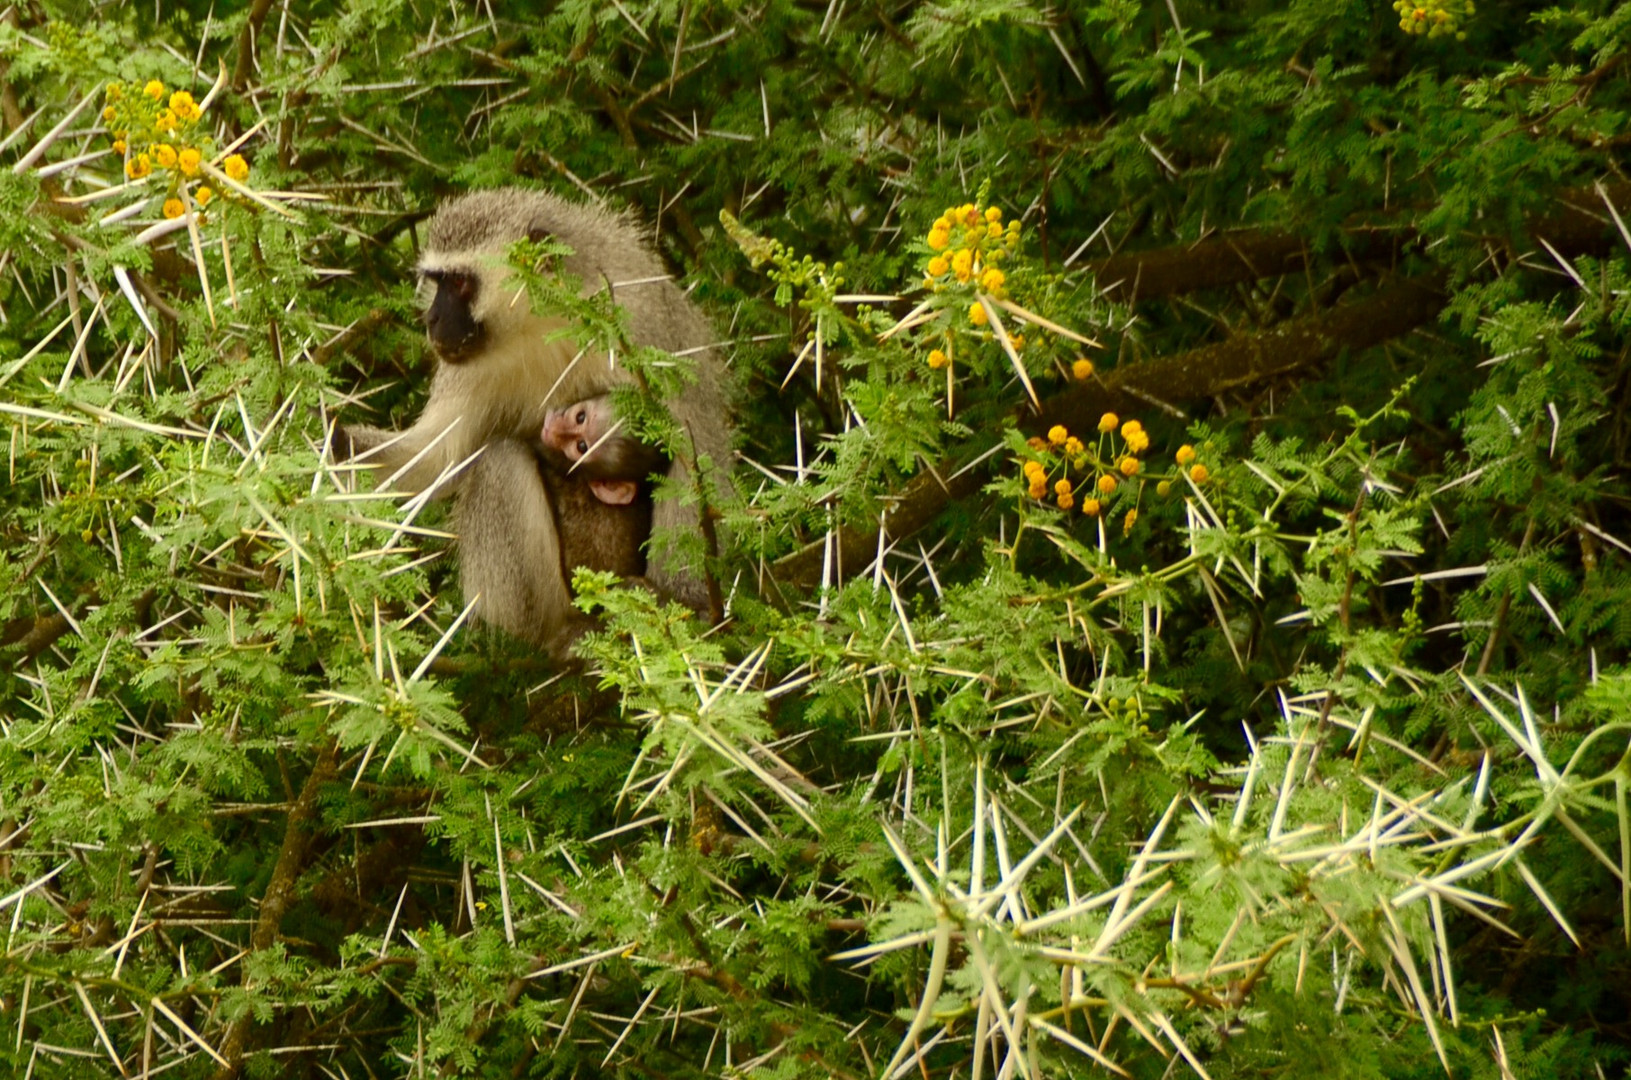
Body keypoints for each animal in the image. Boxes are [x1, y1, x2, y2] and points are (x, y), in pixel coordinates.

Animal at [344, 190, 733, 646]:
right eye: (437, 282)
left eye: (459, 283)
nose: (432, 320)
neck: (543, 323)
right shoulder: (469, 369)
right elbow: (431, 459)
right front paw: (325, 441)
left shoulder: (641, 330)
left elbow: (695, 453)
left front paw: (689, 603)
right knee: (499, 460)